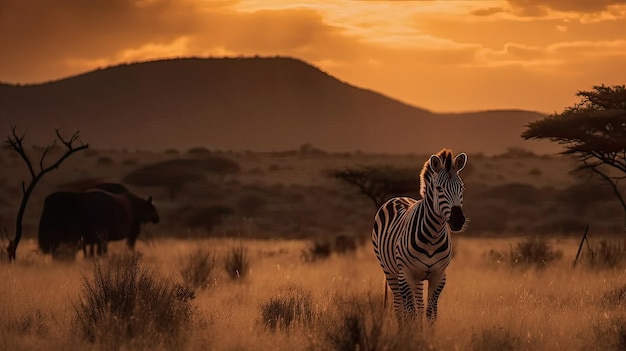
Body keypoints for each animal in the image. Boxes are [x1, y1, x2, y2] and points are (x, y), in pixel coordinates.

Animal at [368, 148, 466, 328]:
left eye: (461, 187)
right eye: (439, 188)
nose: (458, 220)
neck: (433, 235)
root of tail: (397, 197)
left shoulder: (438, 276)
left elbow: (430, 314)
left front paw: (426, 334)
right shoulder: (405, 275)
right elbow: (410, 313)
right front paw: (411, 334)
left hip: (418, 277)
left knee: (419, 304)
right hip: (390, 272)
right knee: (399, 307)